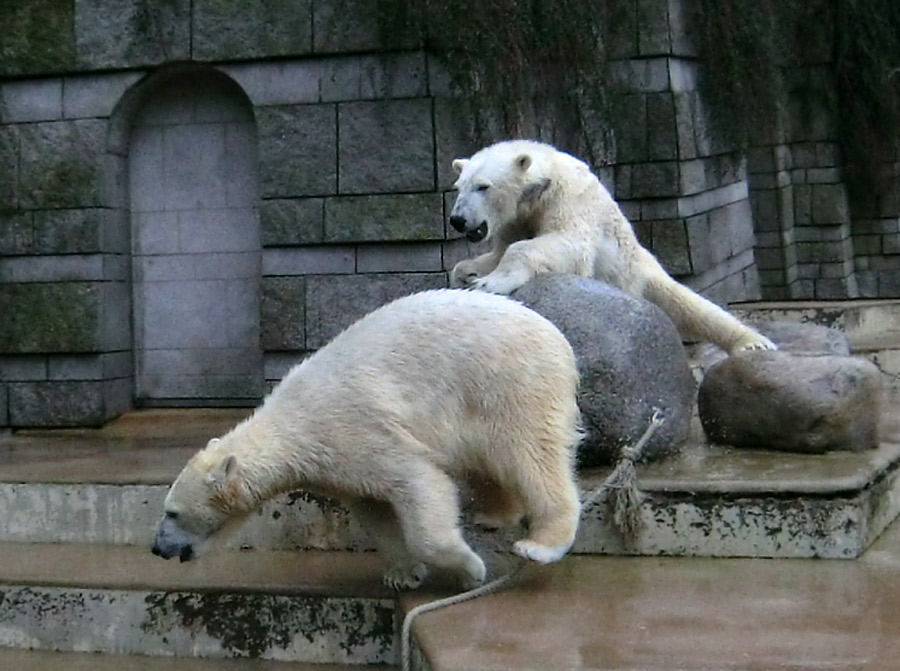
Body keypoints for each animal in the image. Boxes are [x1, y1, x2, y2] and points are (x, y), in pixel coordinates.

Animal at [153, 288, 584, 588]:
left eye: (172, 512)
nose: (157, 548)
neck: (291, 424)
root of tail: (559, 339)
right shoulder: (341, 465)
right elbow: (375, 511)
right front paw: (403, 573)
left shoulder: (355, 429)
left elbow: (420, 482)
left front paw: (469, 568)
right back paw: (493, 513)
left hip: (511, 383)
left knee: (531, 454)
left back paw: (542, 543)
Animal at [450, 140, 772, 356]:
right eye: (459, 187)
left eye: (483, 186)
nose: (457, 219)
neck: (544, 183)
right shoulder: (517, 218)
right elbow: (496, 252)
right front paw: (467, 274)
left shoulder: (570, 199)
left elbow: (568, 244)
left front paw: (491, 283)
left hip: (639, 273)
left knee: (693, 306)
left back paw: (753, 342)